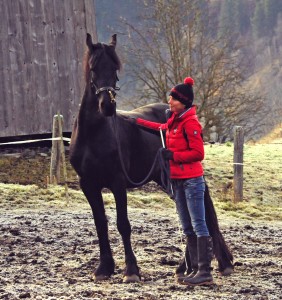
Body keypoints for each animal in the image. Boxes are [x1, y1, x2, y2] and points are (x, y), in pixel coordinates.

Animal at [69, 34, 232, 282]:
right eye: (94, 68)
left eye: (115, 69)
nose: (107, 106)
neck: (94, 134)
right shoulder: (88, 184)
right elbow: (100, 224)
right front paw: (104, 268)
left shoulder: (117, 182)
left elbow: (123, 224)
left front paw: (131, 271)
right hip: (167, 181)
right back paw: (186, 267)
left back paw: (203, 266)